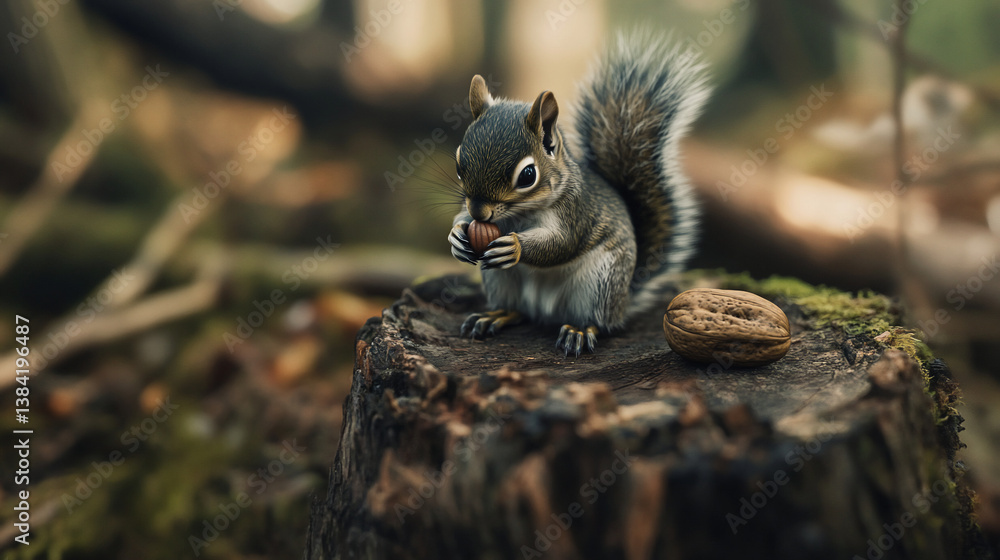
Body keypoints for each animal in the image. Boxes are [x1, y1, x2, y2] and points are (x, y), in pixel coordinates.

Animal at [447, 32, 710, 356]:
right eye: (458, 165)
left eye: (528, 175)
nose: (479, 213)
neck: (521, 213)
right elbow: (461, 218)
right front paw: (457, 236)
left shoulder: (576, 212)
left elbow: (562, 243)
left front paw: (516, 247)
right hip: (501, 279)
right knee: (516, 310)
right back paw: (494, 315)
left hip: (598, 283)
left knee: (596, 320)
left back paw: (580, 331)